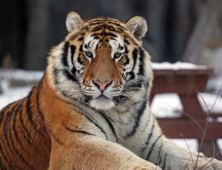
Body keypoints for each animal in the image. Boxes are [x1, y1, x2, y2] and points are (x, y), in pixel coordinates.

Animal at [0, 11, 222, 169]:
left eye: (117, 55)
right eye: (88, 54)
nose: (102, 84)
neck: (120, 111)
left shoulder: (152, 143)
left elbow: (188, 157)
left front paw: (211, 164)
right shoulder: (76, 142)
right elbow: (120, 159)